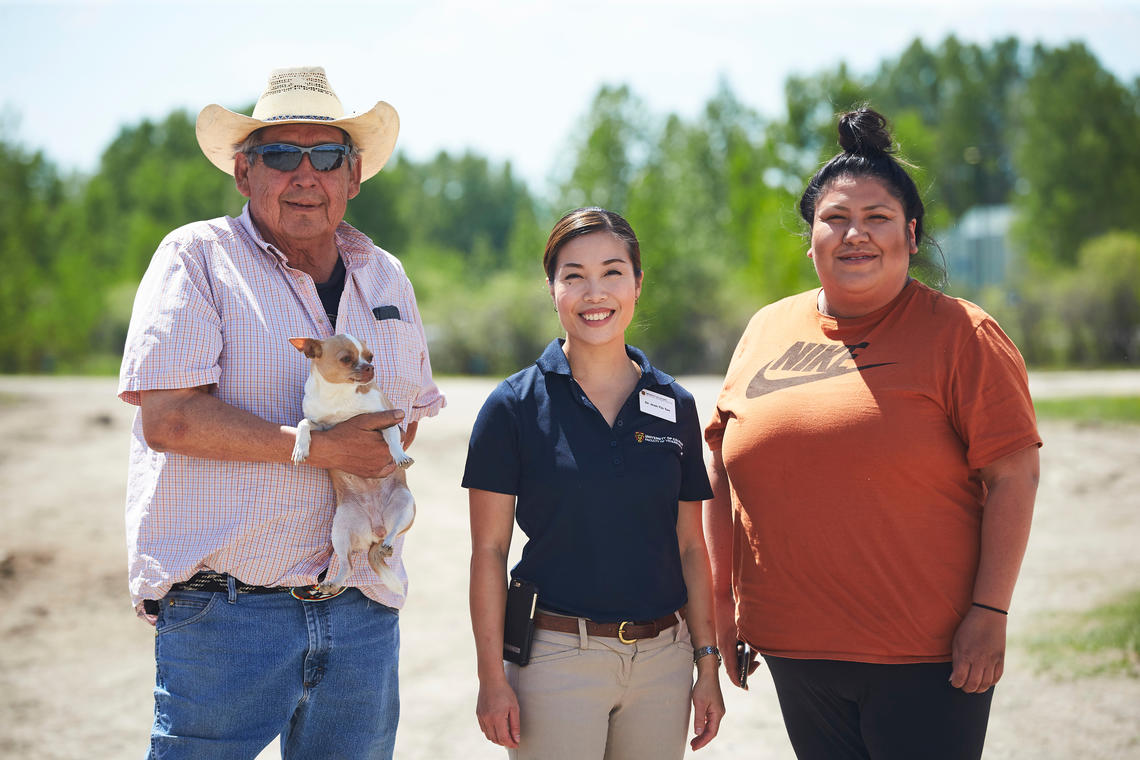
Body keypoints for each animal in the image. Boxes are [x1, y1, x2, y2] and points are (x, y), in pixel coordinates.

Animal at [289, 334, 419, 597]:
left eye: (370, 356)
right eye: (346, 359)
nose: (370, 367)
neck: (338, 394)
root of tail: (376, 532)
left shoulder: (385, 418)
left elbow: (392, 438)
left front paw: (400, 456)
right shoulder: (321, 426)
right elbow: (303, 423)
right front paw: (300, 447)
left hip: (405, 505)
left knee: (394, 531)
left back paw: (387, 543)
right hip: (340, 531)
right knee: (346, 566)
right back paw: (332, 582)